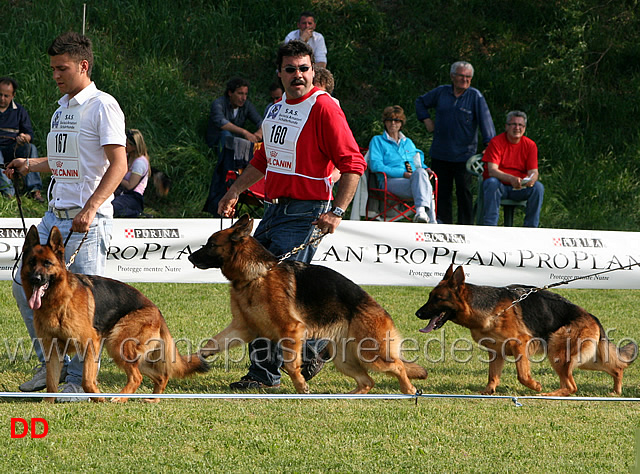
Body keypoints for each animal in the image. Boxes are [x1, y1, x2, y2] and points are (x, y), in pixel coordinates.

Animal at [20, 224, 208, 402]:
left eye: (47, 263)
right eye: (31, 262)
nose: (35, 279)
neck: (59, 301)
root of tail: (156, 310)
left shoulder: (90, 344)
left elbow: (87, 380)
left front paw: (98, 398)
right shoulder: (52, 350)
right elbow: (51, 383)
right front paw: (47, 403)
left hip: (117, 345)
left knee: (137, 377)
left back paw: (120, 398)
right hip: (133, 354)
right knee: (161, 376)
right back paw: (153, 400)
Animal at [189, 217, 430, 394]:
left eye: (211, 244)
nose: (190, 257)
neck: (257, 275)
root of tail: (382, 311)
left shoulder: (291, 330)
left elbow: (289, 363)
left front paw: (300, 385)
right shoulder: (242, 329)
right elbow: (210, 344)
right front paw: (192, 361)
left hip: (370, 355)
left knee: (398, 366)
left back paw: (409, 390)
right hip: (345, 360)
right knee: (367, 382)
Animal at [416, 262, 636, 396]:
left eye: (438, 299)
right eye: (429, 296)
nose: (417, 313)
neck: (489, 308)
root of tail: (592, 317)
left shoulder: (520, 344)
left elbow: (522, 375)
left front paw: (535, 385)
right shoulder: (496, 352)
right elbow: (492, 376)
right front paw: (487, 393)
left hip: (559, 354)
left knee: (571, 386)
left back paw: (549, 394)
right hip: (584, 359)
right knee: (617, 368)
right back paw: (616, 392)